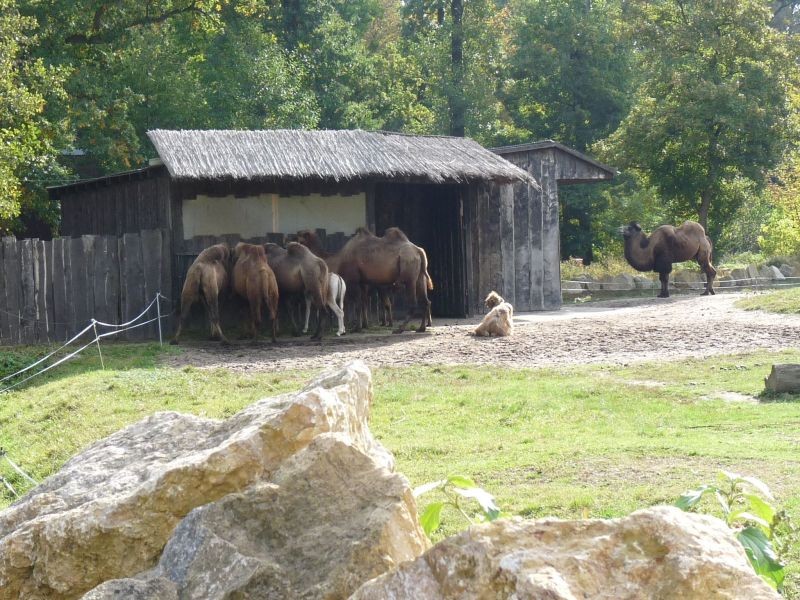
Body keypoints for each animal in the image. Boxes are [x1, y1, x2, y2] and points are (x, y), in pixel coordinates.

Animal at [294, 229, 432, 336]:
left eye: (299, 237)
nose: (290, 242)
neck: (338, 259)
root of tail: (419, 251)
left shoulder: (354, 280)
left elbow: (358, 304)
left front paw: (356, 328)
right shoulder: (362, 282)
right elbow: (363, 303)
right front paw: (361, 326)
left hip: (409, 275)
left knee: (413, 303)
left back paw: (399, 329)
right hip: (419, 276)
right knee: (425, 301)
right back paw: (421, 328)